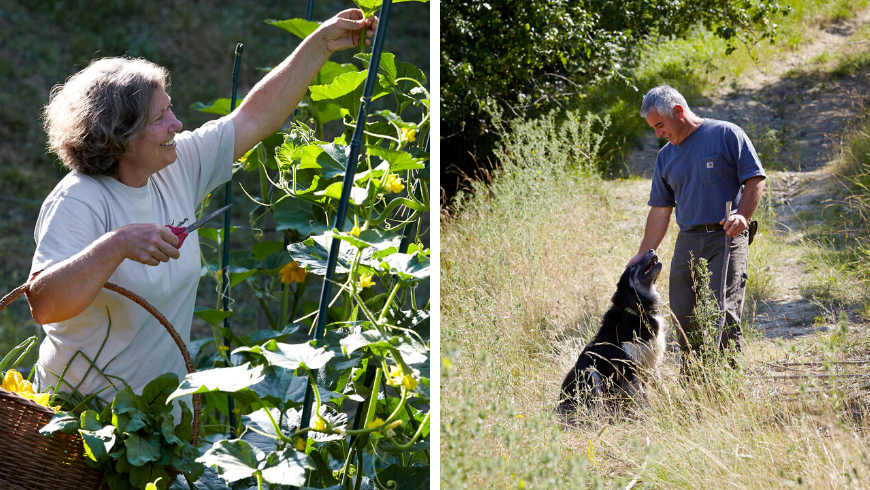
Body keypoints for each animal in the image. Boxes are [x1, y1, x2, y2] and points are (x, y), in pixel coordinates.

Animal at [560, 249, 668, 414]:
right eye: (633, 267)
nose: (651, 250)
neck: (637, 312)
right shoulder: (630, 372)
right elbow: (644, 401)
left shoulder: (652, 365)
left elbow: (663, 390)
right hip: (590, 373)